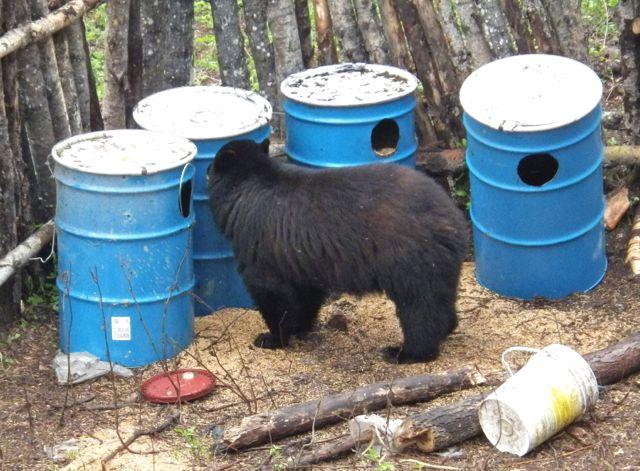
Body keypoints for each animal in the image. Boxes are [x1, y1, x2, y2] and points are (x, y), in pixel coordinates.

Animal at [208, 140, 468, 366]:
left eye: (211, 166)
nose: (207, 169)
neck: (247, 188)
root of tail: (453, 220)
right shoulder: (299, 256)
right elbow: (305, 292)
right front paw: (300, 327)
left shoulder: (259, 241)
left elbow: (270, 290)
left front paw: (271, 338)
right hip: (436, 264)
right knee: (439, 298)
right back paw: (446, 328)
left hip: (410, 258)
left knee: (418, 306)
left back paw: (406, 352)